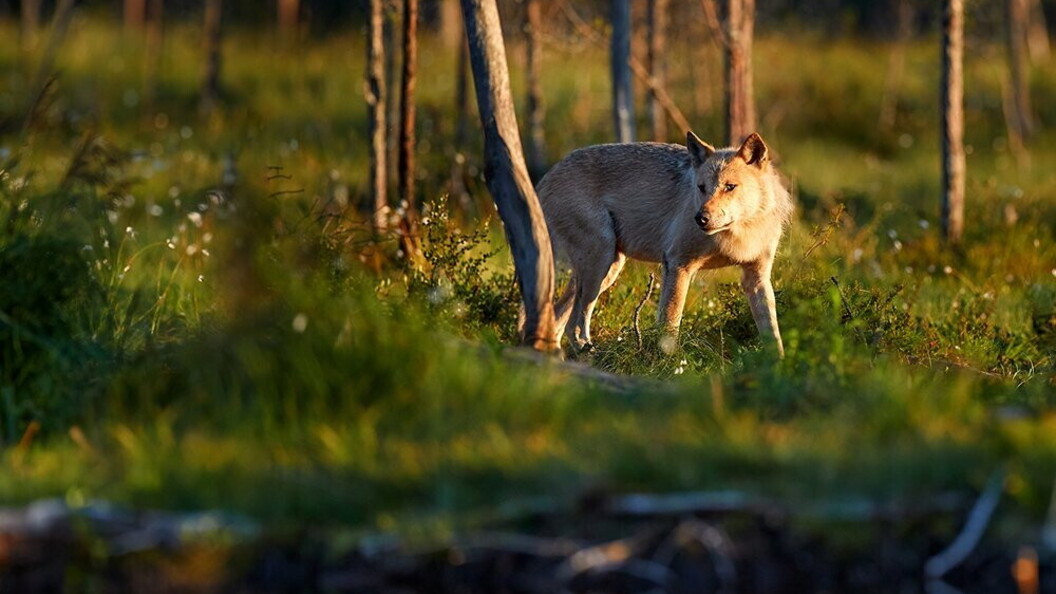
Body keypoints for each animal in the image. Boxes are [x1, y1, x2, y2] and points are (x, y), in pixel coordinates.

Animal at [533, 132, 793, 356]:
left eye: (730, 187)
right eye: (701, 188)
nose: (700, 218)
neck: (739, 234)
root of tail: (546, 176)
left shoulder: (756, 276)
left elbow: (772, 331)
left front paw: (778, 366)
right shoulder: (678, 264)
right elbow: (670, 322)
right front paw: (667, 362)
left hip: (607, 270)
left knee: (559, 321)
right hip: (600, 264)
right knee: (574, 327)